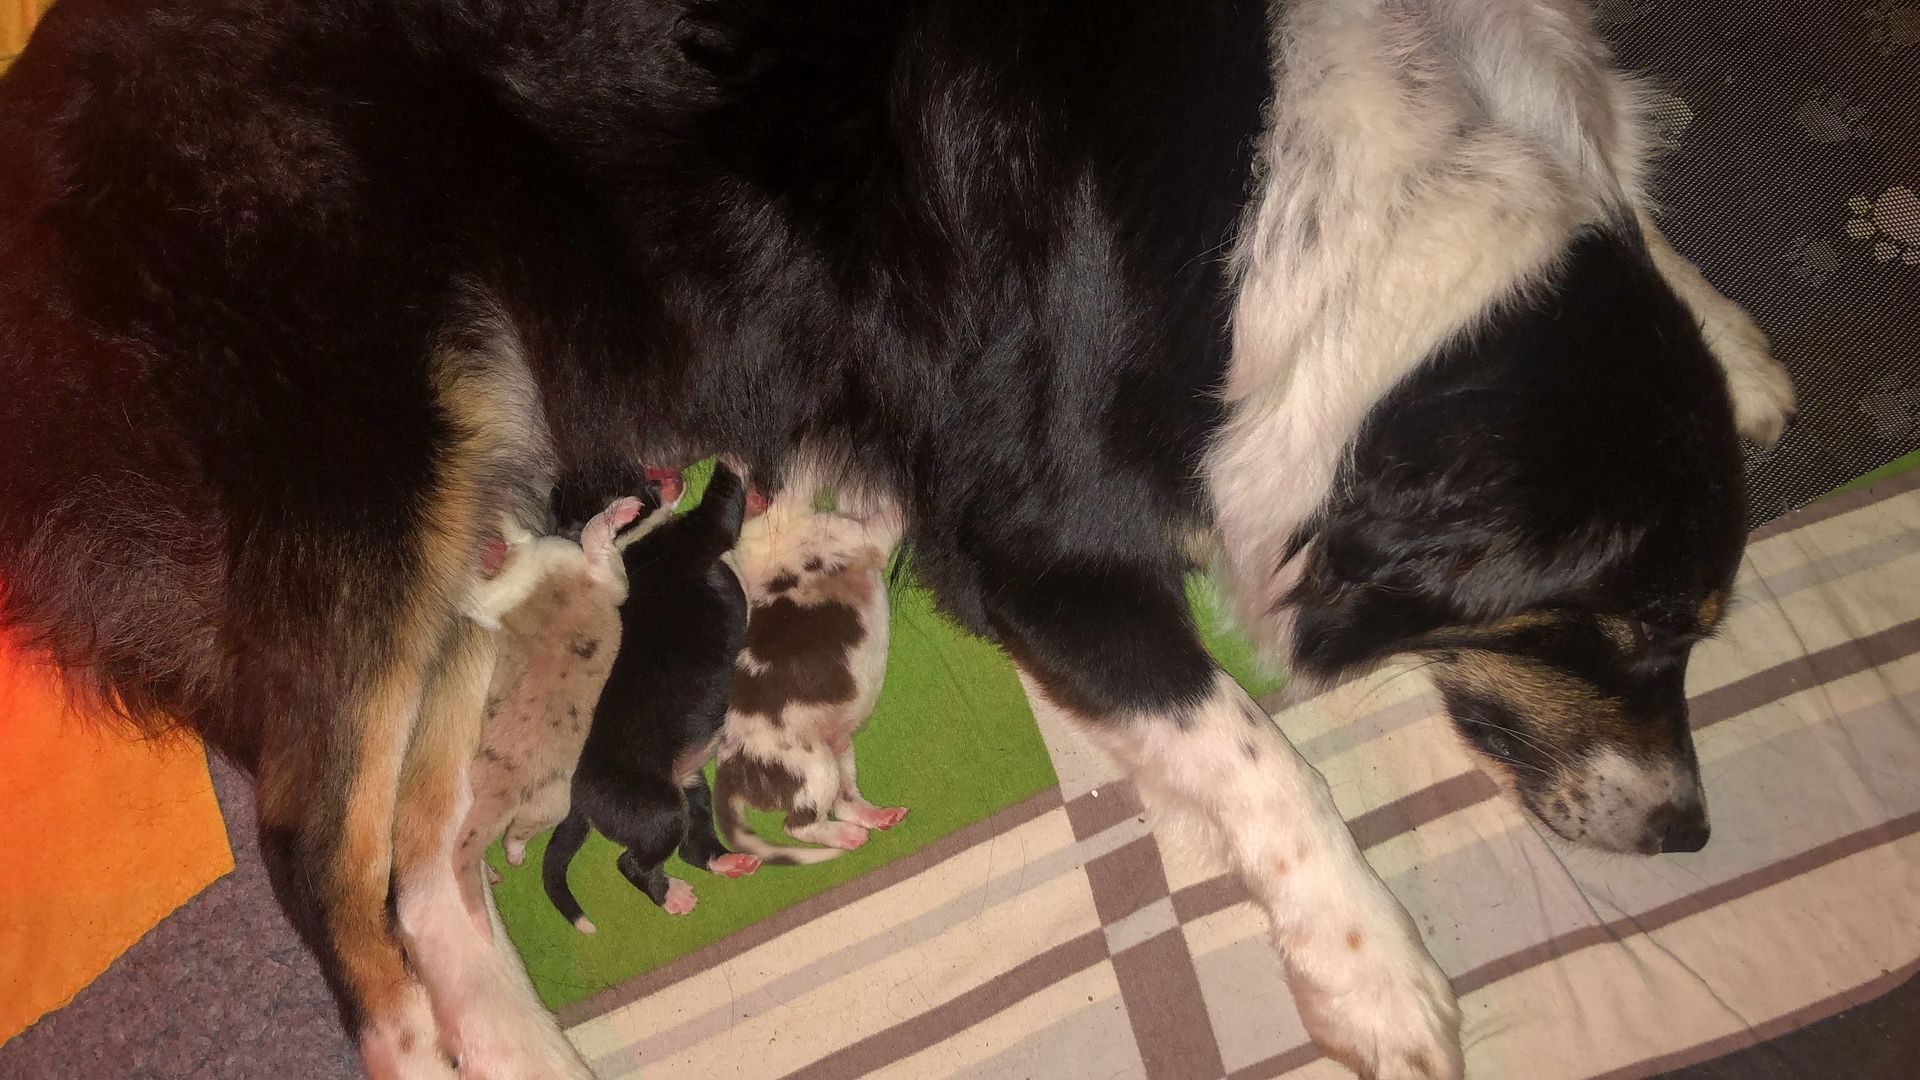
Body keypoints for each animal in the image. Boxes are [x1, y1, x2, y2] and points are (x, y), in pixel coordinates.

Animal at [714, 483, 907, 863]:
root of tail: (729, 771)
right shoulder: (866, 536)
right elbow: (892, 514)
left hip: (839, 753)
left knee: (844, 804)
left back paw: (877, 817)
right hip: (815, 769)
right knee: (800, 826)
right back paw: (849, 837)